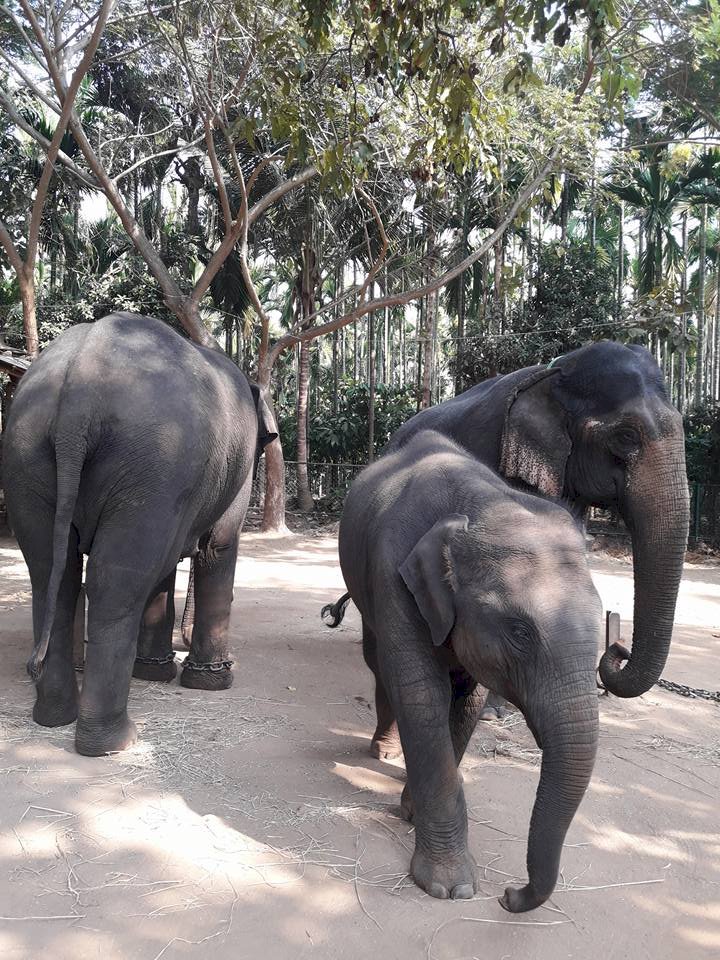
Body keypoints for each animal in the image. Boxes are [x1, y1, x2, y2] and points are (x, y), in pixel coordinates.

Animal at [2, 312, 277, 756]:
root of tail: (83, 379)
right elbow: (217, 547)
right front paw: (213, 683)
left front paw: (154, 673)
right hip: (155, 458)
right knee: (115, 582)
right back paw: (115, 741)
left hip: (26, 452)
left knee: (51, 576)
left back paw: (54, 718)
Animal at [324, 430, 601, 911]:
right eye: (519, 631)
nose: (509, 896)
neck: (483, 505)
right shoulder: (393, 573)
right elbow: (421, 693)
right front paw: (450, 887)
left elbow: (466, 700)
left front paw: (410, 811)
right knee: (378, 664)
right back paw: (384, 752)